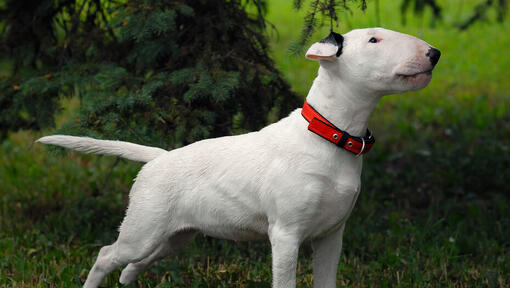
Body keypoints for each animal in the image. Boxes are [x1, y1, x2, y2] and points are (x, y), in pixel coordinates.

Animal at [38, 27, 438, 288]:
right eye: (373, 40)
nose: (434, 53)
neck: (329, 137)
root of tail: (159, 157)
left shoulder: (331, 236)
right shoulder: (286, 235)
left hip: (173, 237)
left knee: (132, 265)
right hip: (144, 228)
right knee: (107, 255)